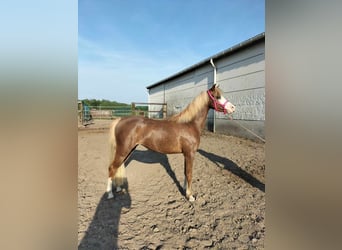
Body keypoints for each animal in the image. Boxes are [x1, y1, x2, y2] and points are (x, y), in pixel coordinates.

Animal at [107, 83, 235, 201]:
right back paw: (110, 194)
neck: (189, 124)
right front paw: (190, 196)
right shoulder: (190, 154)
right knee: (112, 168)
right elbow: (189, 174)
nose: (233, 108)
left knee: (117, 167)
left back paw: (118, 189)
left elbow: (185, 172)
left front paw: (185, 190)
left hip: (128, 151)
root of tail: (120, 120)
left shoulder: (186, 155)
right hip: (123, 150)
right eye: (218, 96)